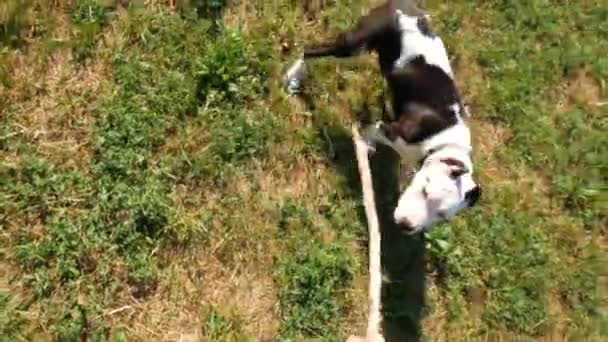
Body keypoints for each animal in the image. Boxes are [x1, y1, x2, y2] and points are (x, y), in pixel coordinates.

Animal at [284, 0, 480, 234]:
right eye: (425, 191)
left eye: (441, 216)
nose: (406, 226)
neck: (443, 145)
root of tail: (403, 4)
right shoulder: (389, 129)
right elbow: (368, 133)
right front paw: (364, 148)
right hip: (352, 46)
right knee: (309, 51)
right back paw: (293, 76)